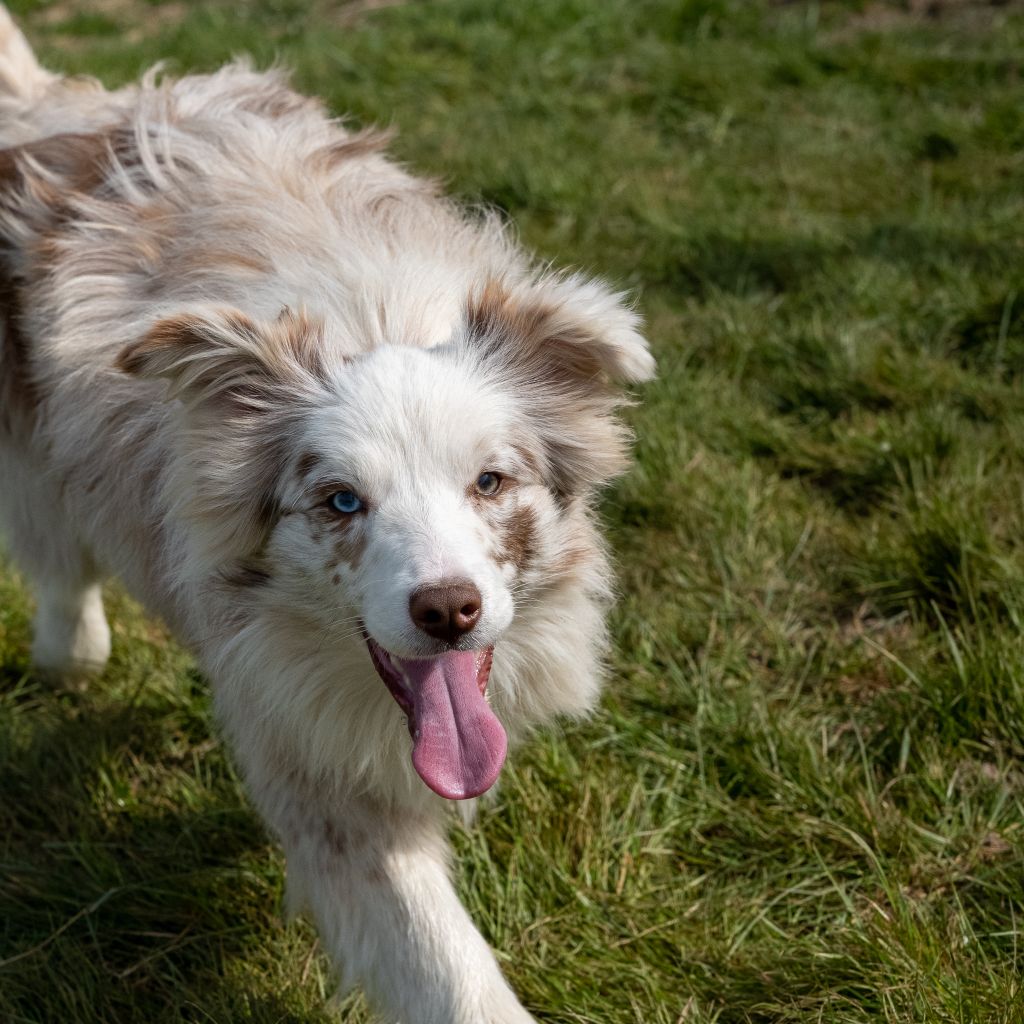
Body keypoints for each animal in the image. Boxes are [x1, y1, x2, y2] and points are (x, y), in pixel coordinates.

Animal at [0, 9, 655, 1024]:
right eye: (342, 500)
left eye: (490, 482)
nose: (448, 610)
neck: (375, 320)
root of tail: (53, 101)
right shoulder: (320, 775)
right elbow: (444, 965)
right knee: (60, 566)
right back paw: (73, 655)